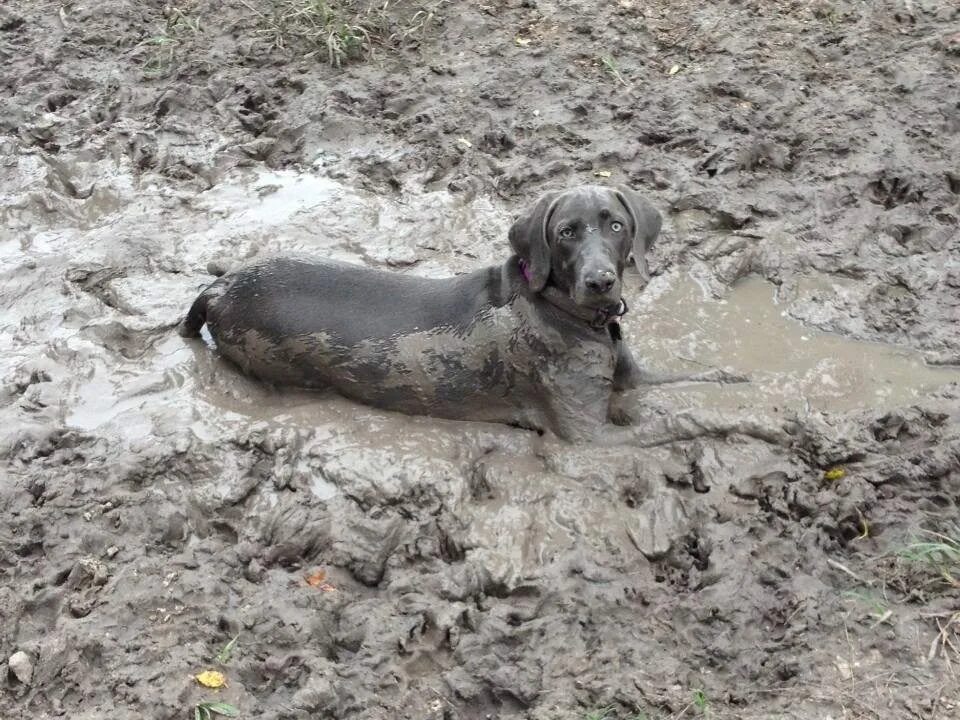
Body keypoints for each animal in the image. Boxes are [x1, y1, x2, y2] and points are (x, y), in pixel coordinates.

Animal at [178, 184, 744, 444]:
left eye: (616, 226)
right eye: (566, 232)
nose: (600, 281)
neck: (572, 316)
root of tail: (216, 287)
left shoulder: (635, 376)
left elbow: (690, 378)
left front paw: (740, 381)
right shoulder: (588, 434)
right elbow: (676, 422)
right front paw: (735, 421)